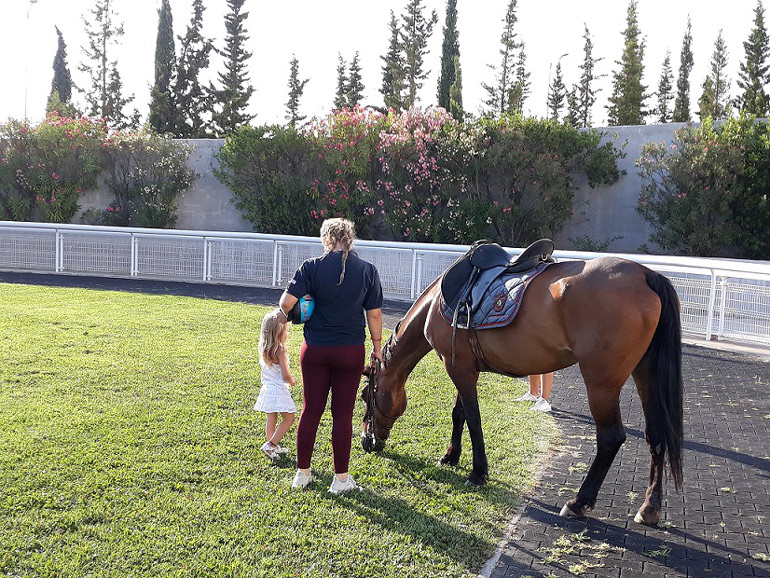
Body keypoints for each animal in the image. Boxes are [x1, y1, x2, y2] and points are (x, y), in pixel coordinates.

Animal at [360, 254, 683, 526]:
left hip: (602, 383)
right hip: (645, 373)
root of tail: (646, 274)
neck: (437, 303)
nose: (366, 440)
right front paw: (451, 456)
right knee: (656, 436)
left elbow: (473, 420)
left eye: (365, 397)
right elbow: (458, 413)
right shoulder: (462, 367)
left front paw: (478, 472)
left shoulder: (458, 369)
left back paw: (579, 502)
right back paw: (649, 508)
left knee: (611, 437)